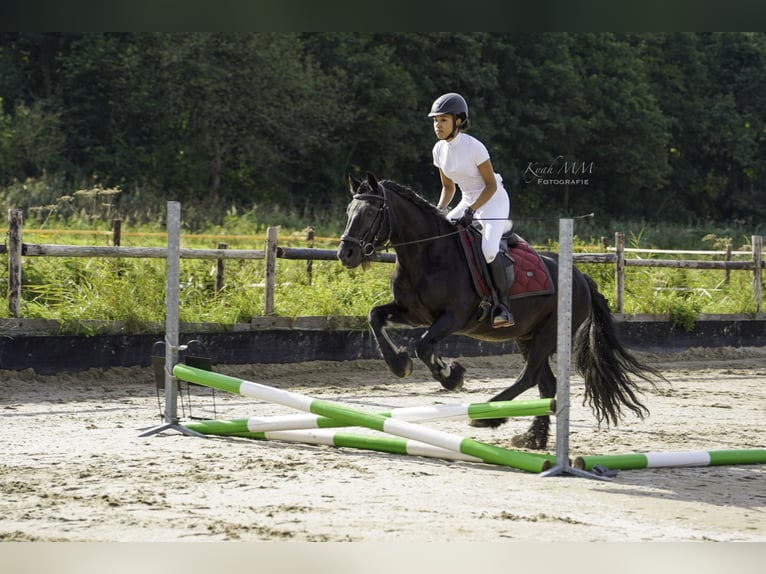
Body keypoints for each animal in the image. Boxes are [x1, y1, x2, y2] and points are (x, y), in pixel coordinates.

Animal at [338, 173, 664, 452]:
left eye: (370, 212)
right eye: (348, 211)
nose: (346, 253)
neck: (427, 254)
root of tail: (582, 277)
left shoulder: (453, 318)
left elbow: (423, 345)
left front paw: (451, 375)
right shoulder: (412, 313)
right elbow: (375, 316)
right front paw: (400, 365)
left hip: (548, 334)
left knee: (529, 377)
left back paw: (488, 416)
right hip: (527, 336)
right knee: (545, 383)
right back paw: (533, 438)